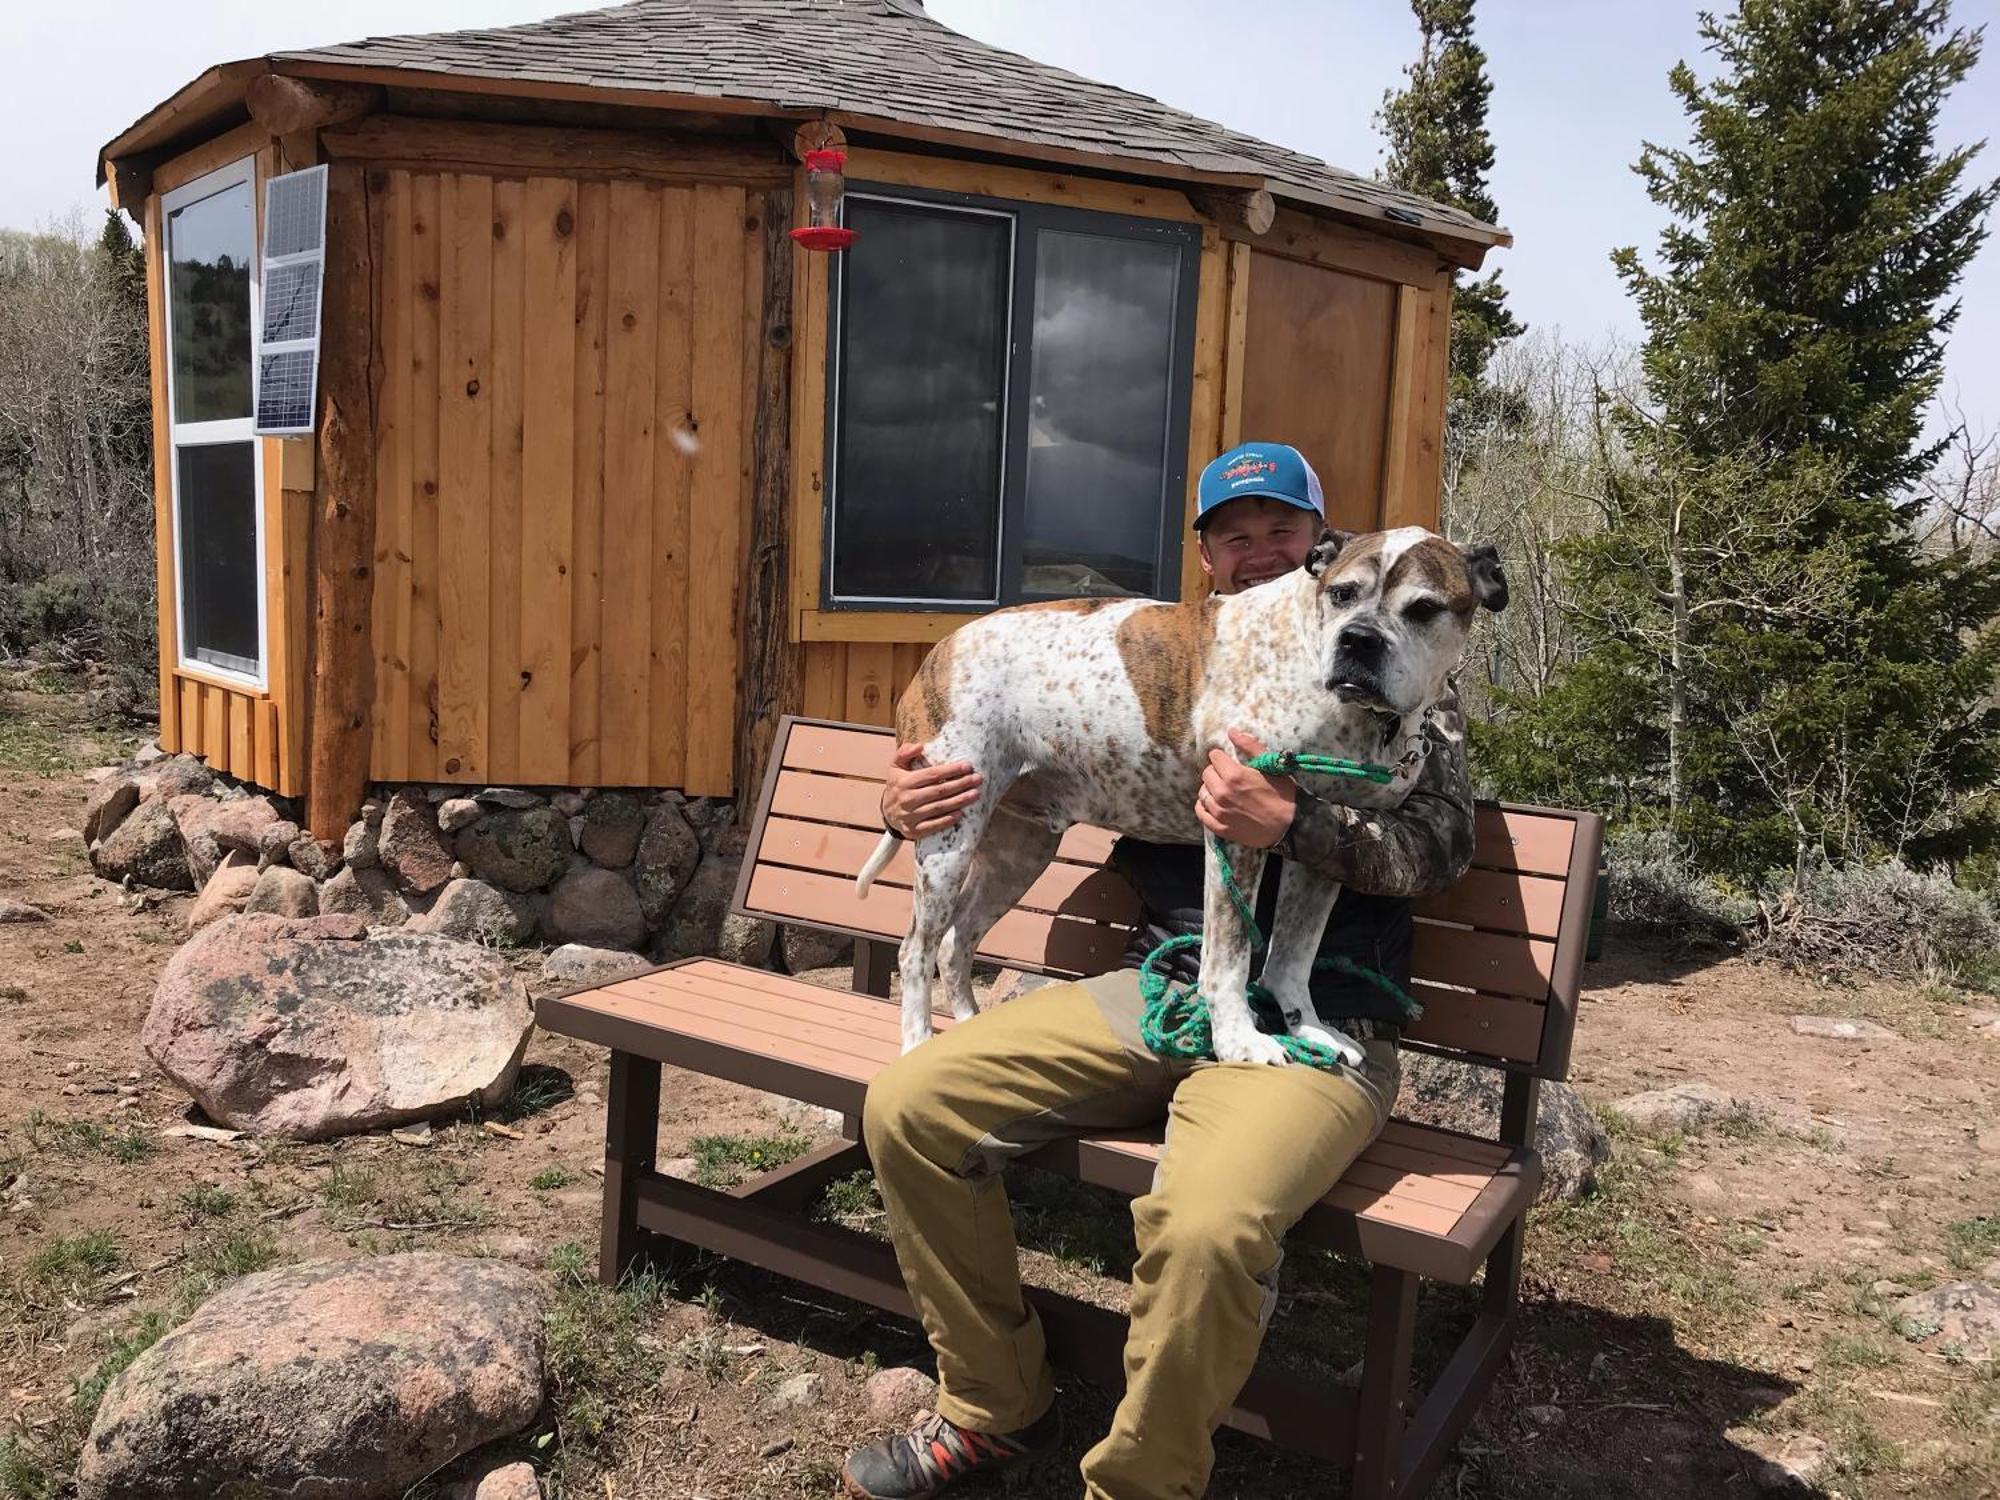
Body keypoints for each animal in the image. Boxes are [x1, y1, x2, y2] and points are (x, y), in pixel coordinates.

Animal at [852, 528, 1504, 1072]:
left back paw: (964, 1026)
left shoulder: (1320, 846)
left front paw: (1309, 1030)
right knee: (916, 948)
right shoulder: (1234, 832)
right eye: (1343, 594)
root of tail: (941, 648)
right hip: (949, 838)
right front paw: (1241, 1041)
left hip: (1020, 851)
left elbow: (1293, 956)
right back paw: (918, 1043)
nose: (1359, 641)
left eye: (1424, 609)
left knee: (957, 940)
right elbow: (1229, 957)